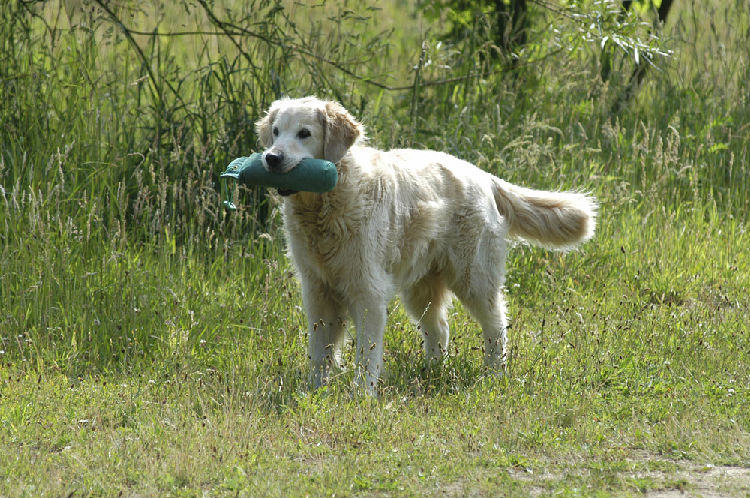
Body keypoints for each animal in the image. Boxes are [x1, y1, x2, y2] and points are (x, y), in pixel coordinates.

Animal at [256, 97, 596, 392]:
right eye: (276, 132)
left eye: (304, 133)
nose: (271, 158)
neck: (327, 203)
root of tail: (485, 177)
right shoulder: (317, 289)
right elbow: (320, 351)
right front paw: (314, 391)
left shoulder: (368, 291)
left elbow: (366, 353)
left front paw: (361, 395)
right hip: (422, 287)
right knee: (439, 329)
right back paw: (432, 371)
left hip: (474, 278)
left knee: (497, 326)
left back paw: (493, 375)